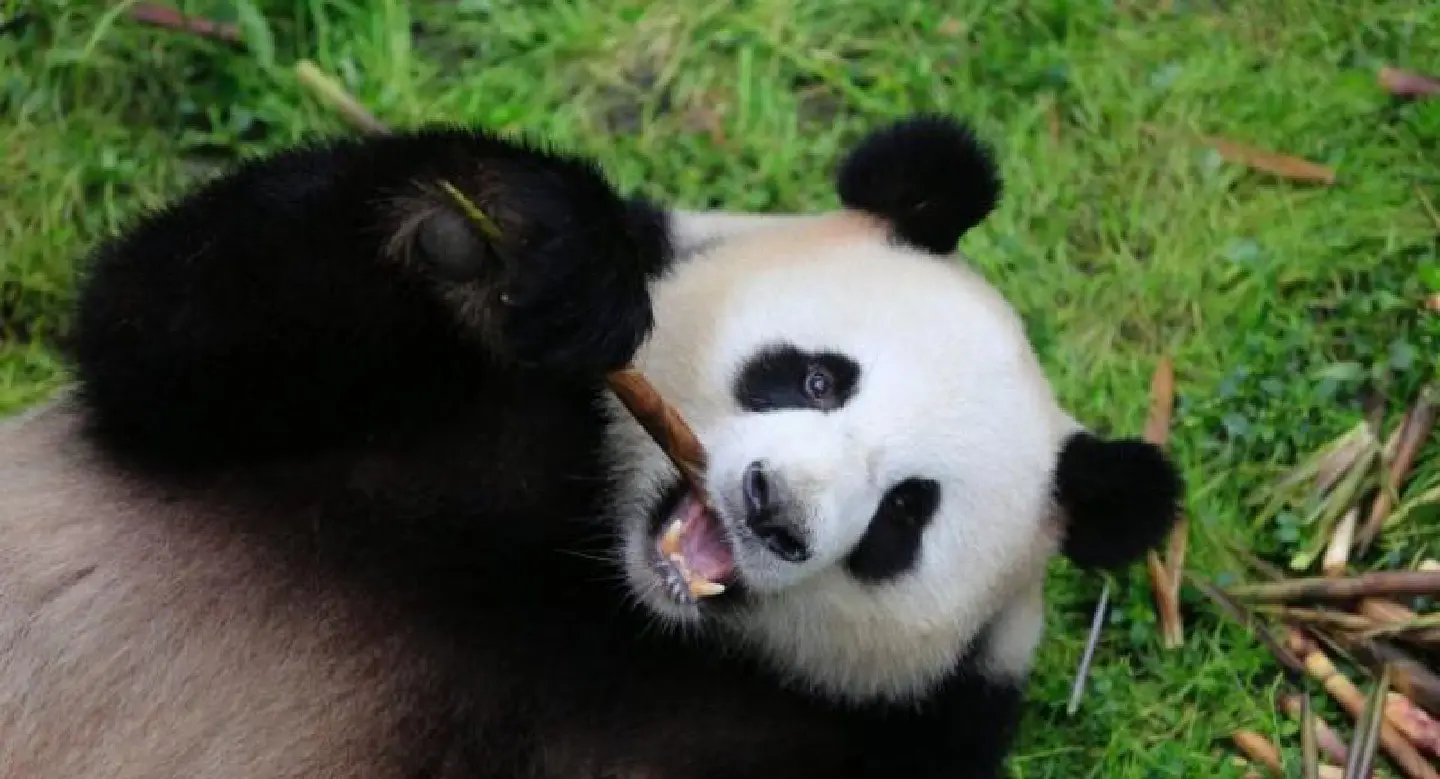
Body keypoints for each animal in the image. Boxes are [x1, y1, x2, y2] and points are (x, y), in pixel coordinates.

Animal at [0, 113, 1182, 779]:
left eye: (905, 513)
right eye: (816, 377)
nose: (773, 511)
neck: (606, 589)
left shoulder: (864, 733)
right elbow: (160, 333)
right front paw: (519, 243)